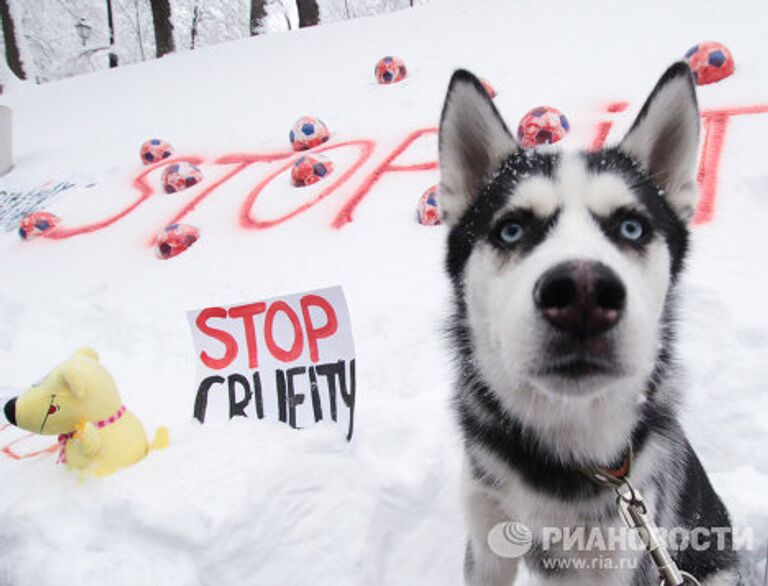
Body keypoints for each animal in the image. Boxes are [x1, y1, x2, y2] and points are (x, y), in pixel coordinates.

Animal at [440, 61, 740, 580]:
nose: (582, 295)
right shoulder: (486, 543)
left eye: (631, 227)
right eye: (511, 229)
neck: (564, 456)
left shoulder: (622, 560)